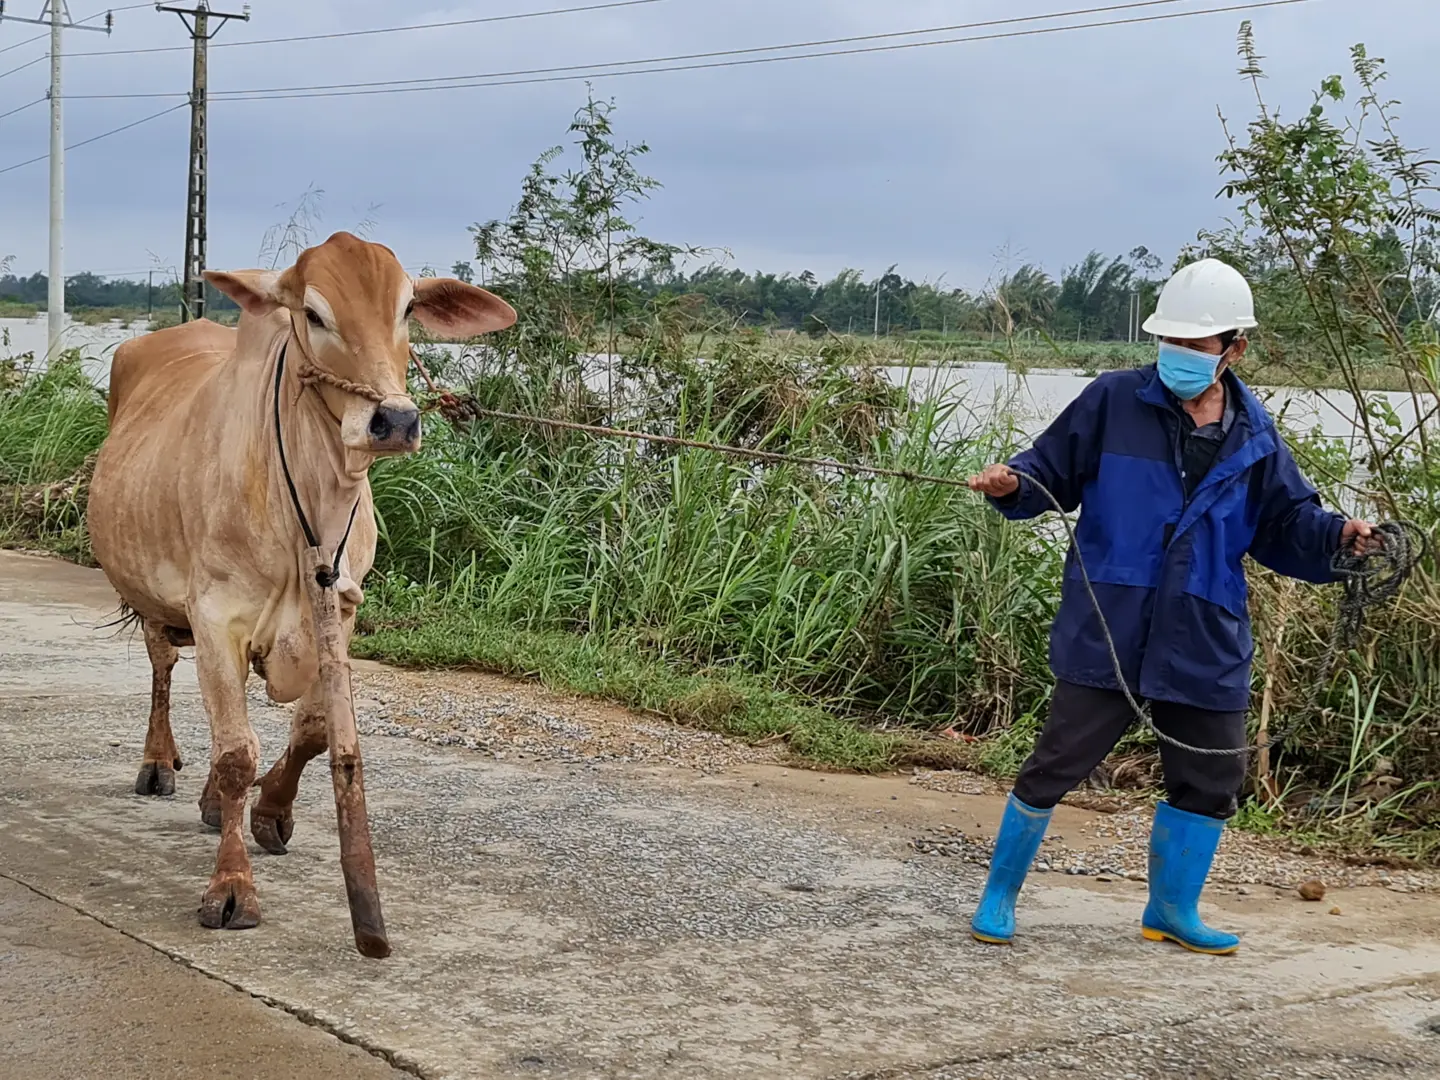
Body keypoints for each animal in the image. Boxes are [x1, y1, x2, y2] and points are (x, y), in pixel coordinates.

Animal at [87, 233, 515, 961]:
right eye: (313, 313)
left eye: (407, 309)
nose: (395, 420)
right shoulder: (215, 616)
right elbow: (237, 753)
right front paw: (232, 887)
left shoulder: (340, 608)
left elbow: (313, 730)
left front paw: (270, 812)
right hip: (152, 595)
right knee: (163, 669)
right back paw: (158, 762)